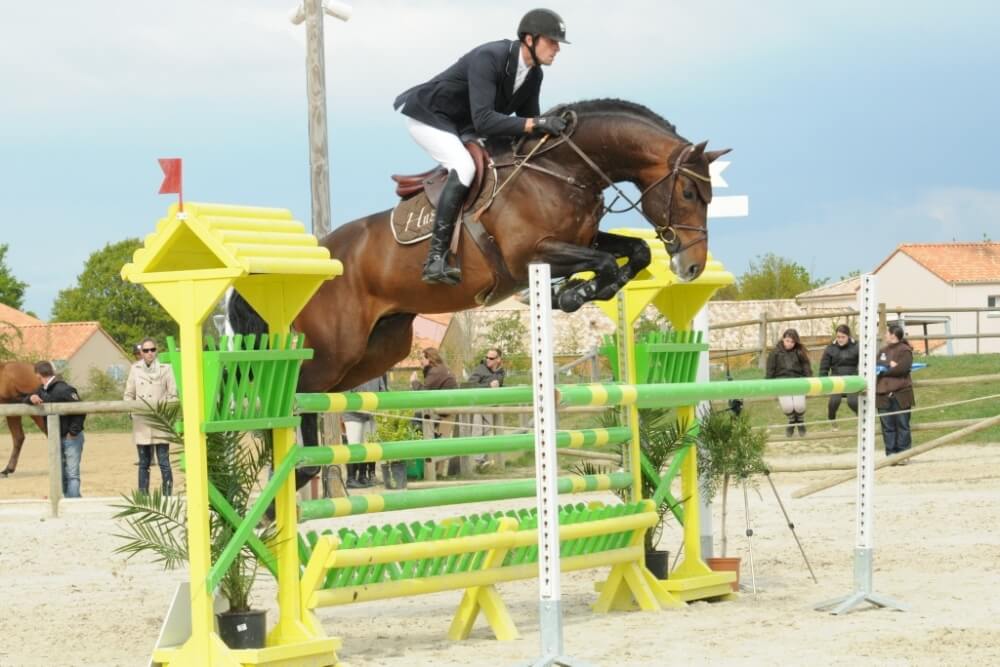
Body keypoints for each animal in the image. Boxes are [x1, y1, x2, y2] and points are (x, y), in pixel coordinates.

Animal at [230, 98, 729, 484]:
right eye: (688, 192)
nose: (691, 266)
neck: (561, 170)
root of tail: (316, 257)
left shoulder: (581, 241)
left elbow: (635, 253)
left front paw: (573, 293)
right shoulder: (532, 255)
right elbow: (606, 262)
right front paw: (568, 294)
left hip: (376, 352)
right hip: (336, 348)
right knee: (295, 394)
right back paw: (297, 475)